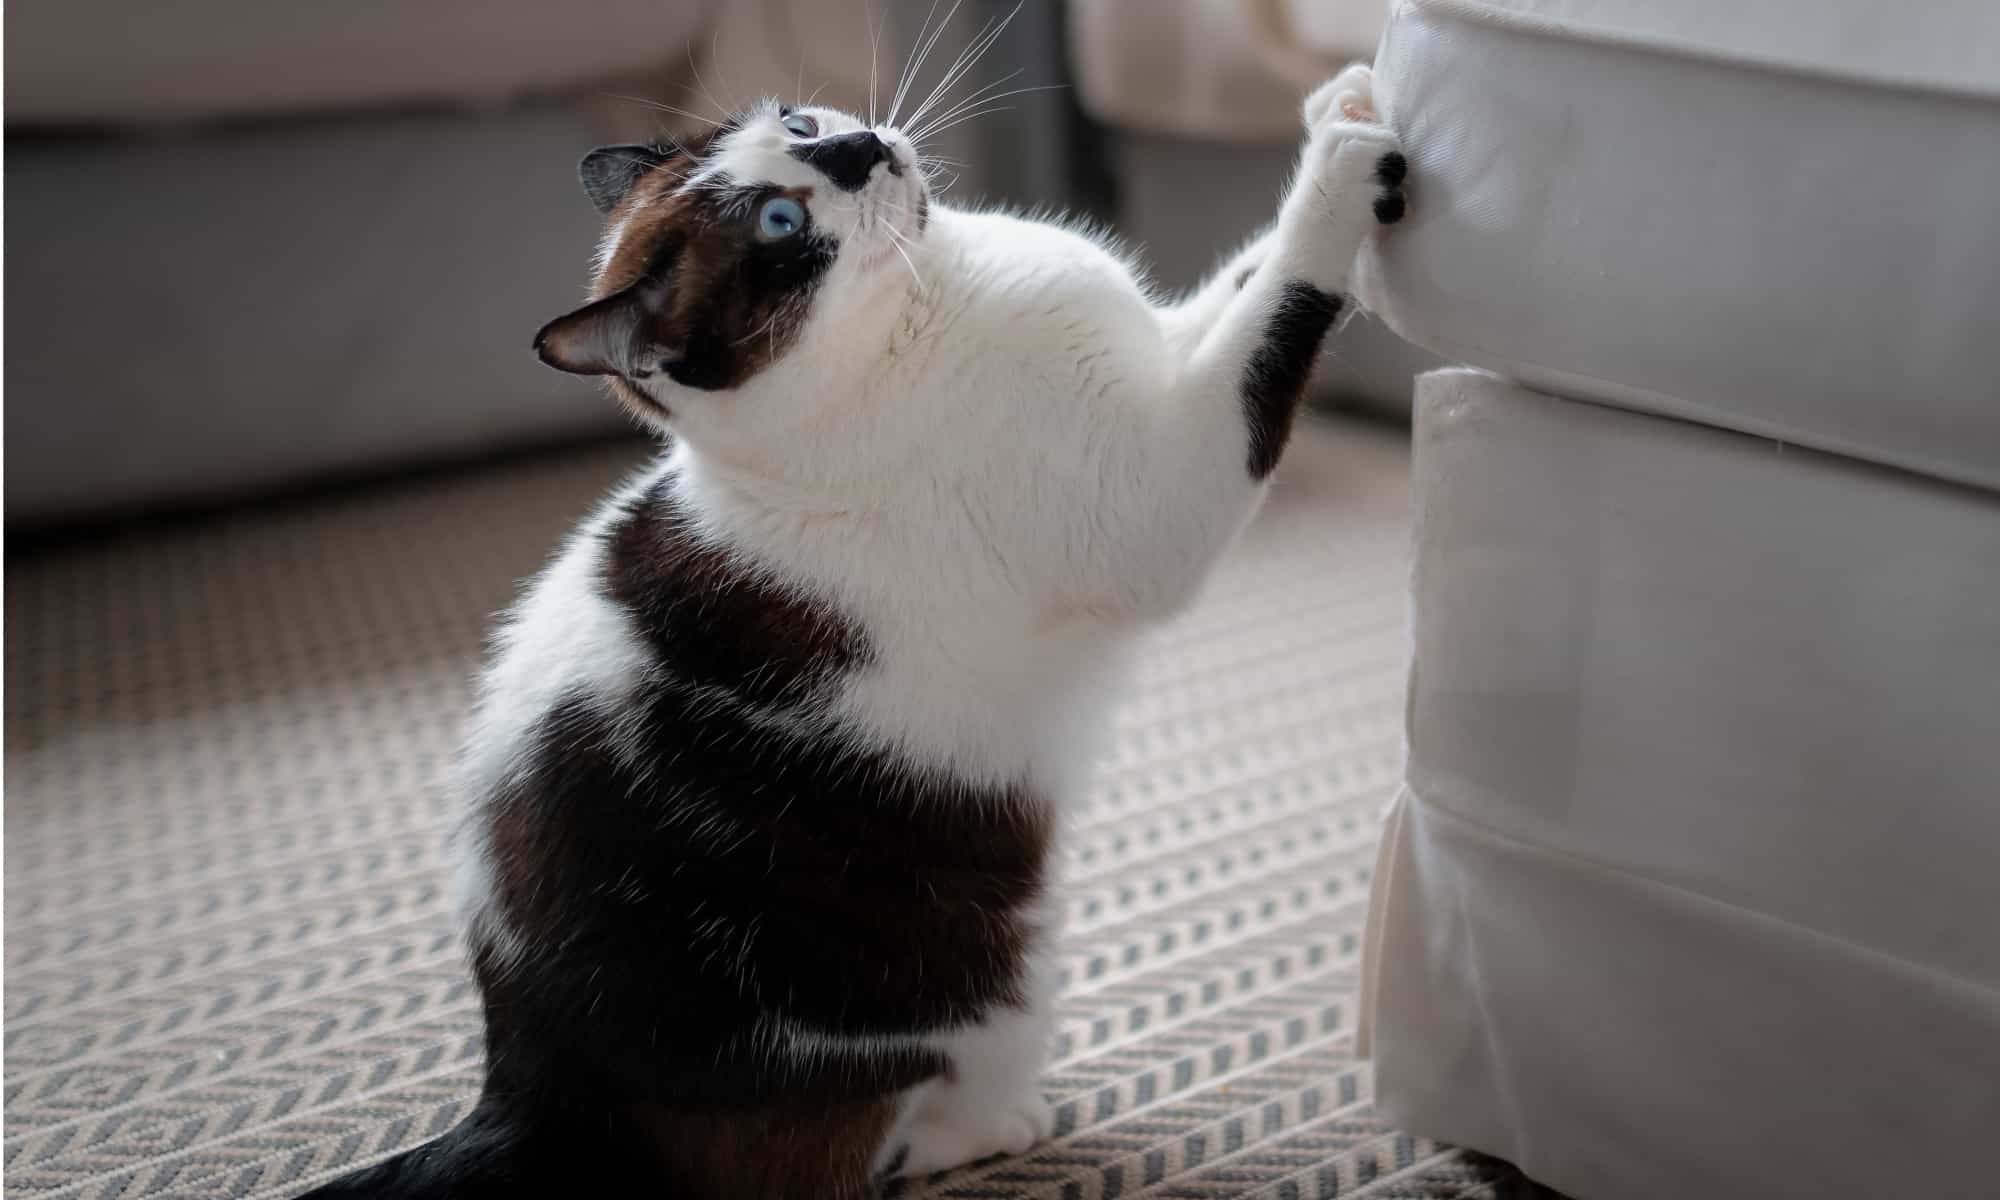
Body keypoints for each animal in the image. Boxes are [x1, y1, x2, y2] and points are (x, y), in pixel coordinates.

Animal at [308, 63, 1408, 1200]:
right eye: (781, 224)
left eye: (798, 125)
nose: (859, 149)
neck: (930, 300)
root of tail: (527, 1087)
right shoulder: (1157, 492)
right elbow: (1274, 315)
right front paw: (1340, 177)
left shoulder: (1159, 350)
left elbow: (1236, 283)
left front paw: (1339, 108)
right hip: (991, 984)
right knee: (881, 1141)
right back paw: (997, 1125)